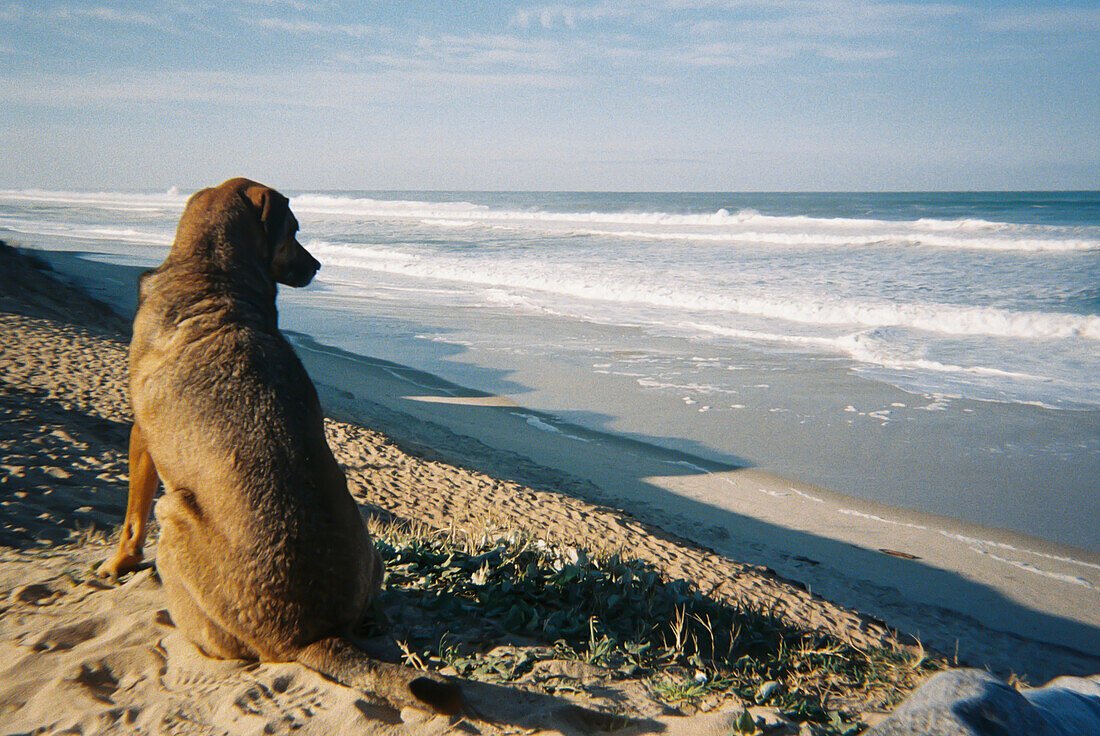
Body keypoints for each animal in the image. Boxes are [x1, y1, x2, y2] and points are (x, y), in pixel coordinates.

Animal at [99, 176, 464, 712]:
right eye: (294, 229)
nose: (317, 266)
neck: (214, 277)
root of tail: (309, 637)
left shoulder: (140, 436)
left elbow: (130, 518)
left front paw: (117, 564)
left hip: (176, 517)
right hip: (366, 549)